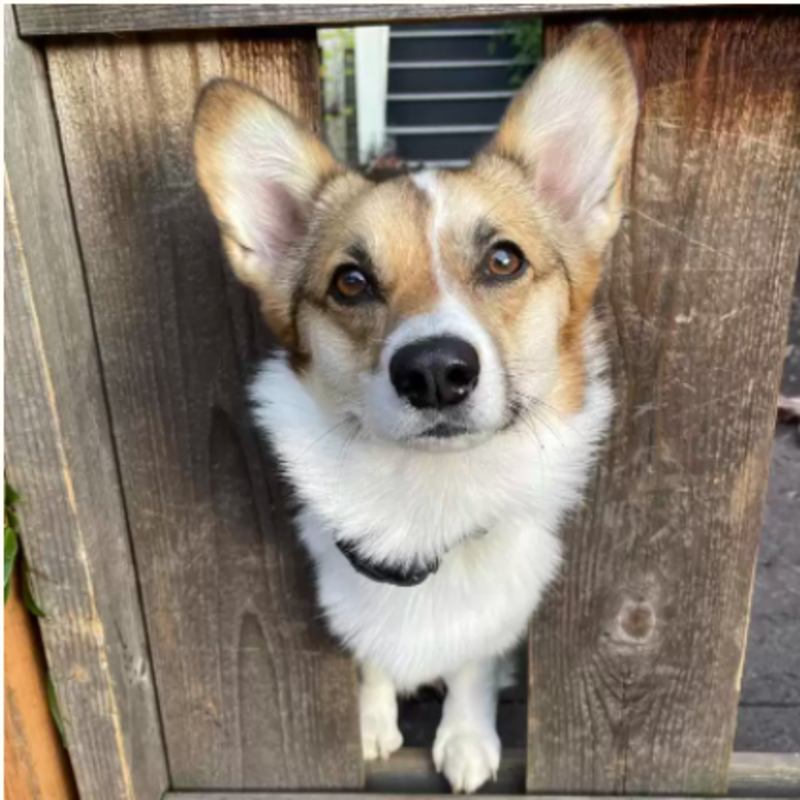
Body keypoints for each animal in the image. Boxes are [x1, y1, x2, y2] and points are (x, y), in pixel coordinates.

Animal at [194, 23, 638, 794]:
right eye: (350, 281)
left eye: (503, 261)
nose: (434, 373)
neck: (427, 497)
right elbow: (370, 656)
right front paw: (373, 721)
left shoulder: (492, 619)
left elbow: (472, 662)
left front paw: (465, 737)